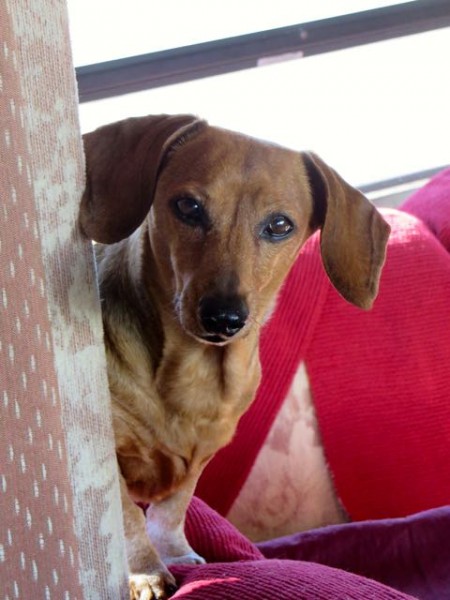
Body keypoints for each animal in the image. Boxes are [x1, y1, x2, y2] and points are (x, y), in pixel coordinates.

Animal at [79, 115, 388, 596]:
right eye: (188, 207)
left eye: (279, 225)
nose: (223, 318)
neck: (194, 375)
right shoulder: (110, 454)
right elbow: (129, 518)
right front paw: (146, 570)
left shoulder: (201, 458)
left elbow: (172, 511)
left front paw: (174, 552)